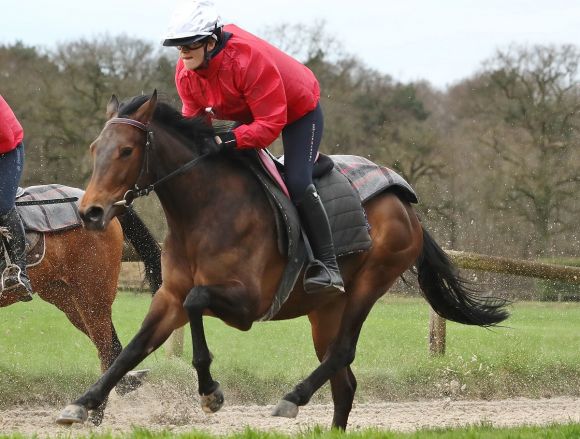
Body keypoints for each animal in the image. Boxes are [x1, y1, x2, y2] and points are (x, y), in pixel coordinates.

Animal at [2, 204, 161, 426]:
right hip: (68, 299)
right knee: (112, 346)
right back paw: (126, 382)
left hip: (92, 296)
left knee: (106, 351)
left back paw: (95, 414)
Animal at [59, 91, 510, 432]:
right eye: (95, 149)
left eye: (126, 150)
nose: (90, 212)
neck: (205, 211)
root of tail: (403, 201)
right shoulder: (168, 296)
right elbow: (132, 349)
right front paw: (83, 402)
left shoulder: (246, 304)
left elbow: (196, 302)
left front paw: (210, 391)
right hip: (325, 312)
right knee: (344, 382)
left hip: (371, 282)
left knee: (343, 352)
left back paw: (293, 397)